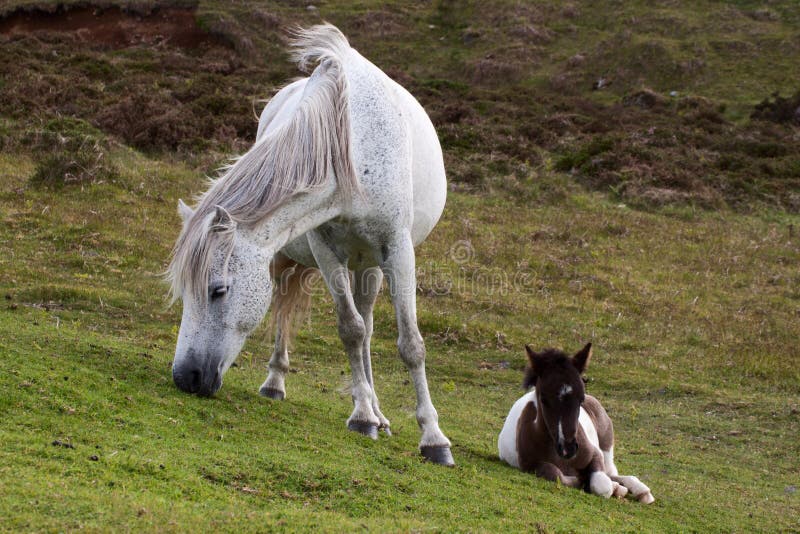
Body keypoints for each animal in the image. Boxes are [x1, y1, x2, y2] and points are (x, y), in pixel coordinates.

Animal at [166, 24, 454, 465]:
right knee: (301, 312)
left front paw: (433, 437)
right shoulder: (324, 249)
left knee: (369, 323)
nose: (185, 377)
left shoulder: (398, 250)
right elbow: (350, 330)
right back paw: (279, 383)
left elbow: (410, 344)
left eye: (218, 290)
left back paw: (381, 412)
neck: (351, 141)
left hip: (370, 264)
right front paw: (362, 417)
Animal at [498, 343, 655, 503]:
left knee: (611, 472)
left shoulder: (595, 454)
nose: (568, 449)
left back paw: (641, 491)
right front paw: (585, 481)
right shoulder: (529, 465)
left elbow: (602, 485)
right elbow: (555, 473)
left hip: (607, 449)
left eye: (581, 398)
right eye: (543, 399)